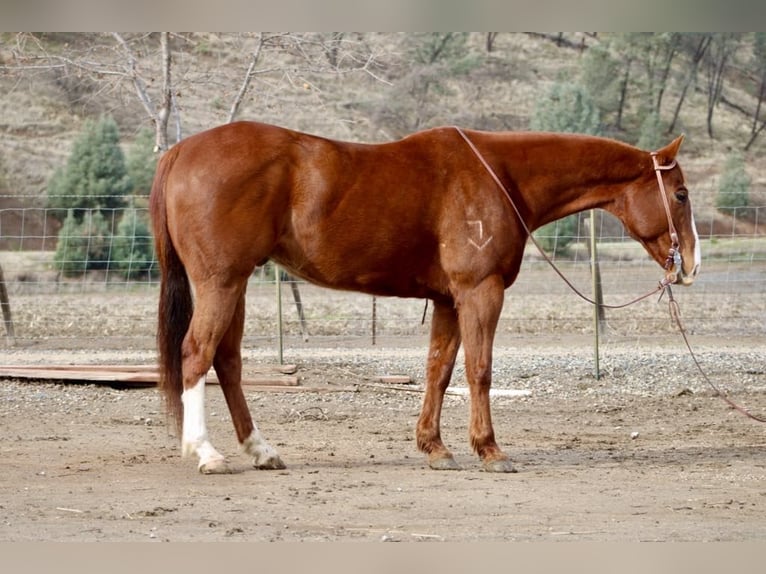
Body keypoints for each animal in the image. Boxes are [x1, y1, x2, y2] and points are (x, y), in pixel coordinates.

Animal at [148, 119, 704, 474]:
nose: (692, 265)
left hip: (236, 284)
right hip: (220, 282)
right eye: (680, 194)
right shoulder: (481, 293)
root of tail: (180, 151)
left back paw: (261, 450)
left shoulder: (447, 301)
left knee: (227, 361)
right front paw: (490, 450)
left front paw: (435, 448)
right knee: (196, 354)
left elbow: (440, 370)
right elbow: (479, 370)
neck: (500, 176)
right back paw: (207, 453)